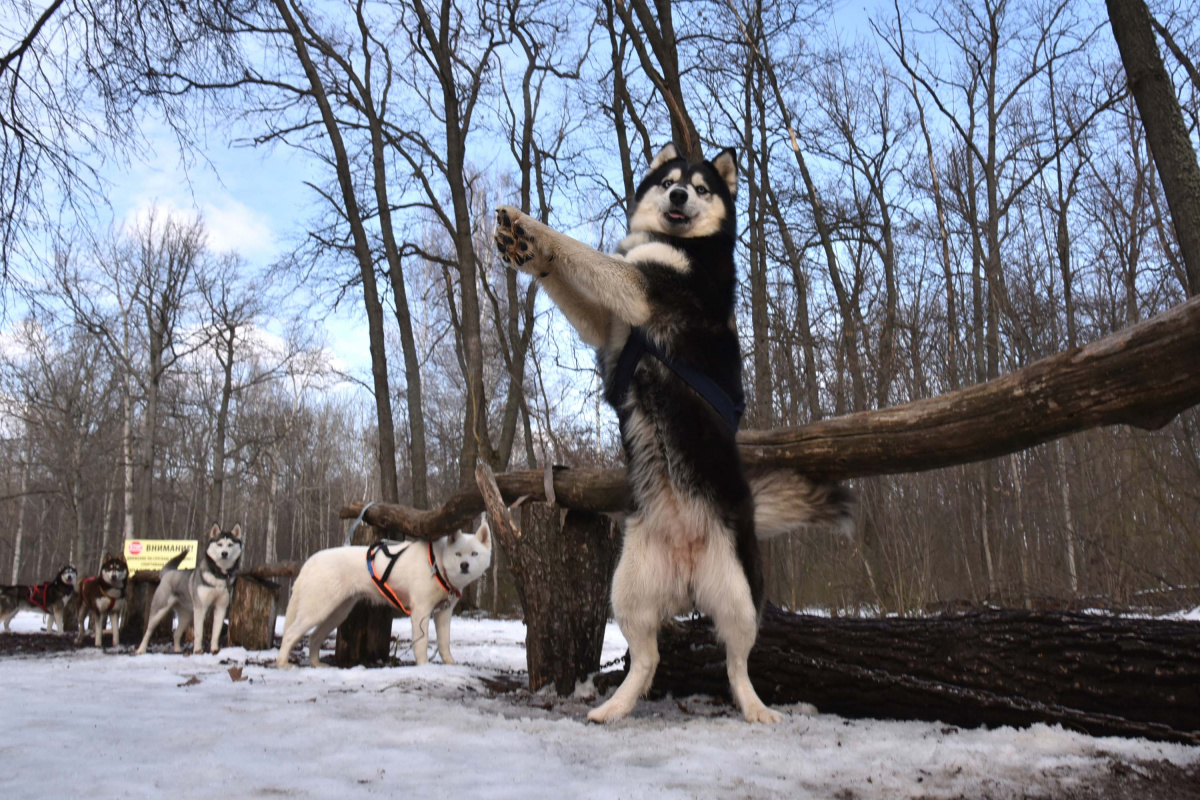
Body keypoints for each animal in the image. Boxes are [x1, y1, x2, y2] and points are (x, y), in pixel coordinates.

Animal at [136, 525, 243, 657]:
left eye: (230, 544)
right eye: (219, 544)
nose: (224, 553)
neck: (219, 575)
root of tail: (168, 572)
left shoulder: (221, 607)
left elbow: (216, 633)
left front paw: (214, 649)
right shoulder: (200, 608)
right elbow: (198, 633)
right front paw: (197, 650)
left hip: (186, 615)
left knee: (176, 633)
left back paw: (177, 649)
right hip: (159, 611)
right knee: (148, 631)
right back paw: (141, 650)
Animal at [277, 520, 492, 671]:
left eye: (474, 554)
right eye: (458, 554)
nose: (464, 566)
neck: (437, 565)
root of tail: (312, 559)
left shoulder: (444, 613)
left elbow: (444, 642)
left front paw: (450, 663)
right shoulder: (421, 611)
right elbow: (421, 643)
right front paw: (424, 666)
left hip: (337, 612)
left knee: (314, 637)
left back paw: (316, 664)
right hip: (318, 610)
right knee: (290, 634)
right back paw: (282, 663)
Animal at [494, 143, 854, 724]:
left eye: (701, 188)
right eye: (669, 182)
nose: (681, 196)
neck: (683, 244)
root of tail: (687, 564)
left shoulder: (643, 291)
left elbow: (586, 252)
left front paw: (532, 226)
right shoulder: (607, 326)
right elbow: (572, 279)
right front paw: (526, 251)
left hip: (741, 595)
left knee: (737, 662)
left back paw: (756, 709)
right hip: (628, 589)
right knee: (648, 658)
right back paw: (615, 707)